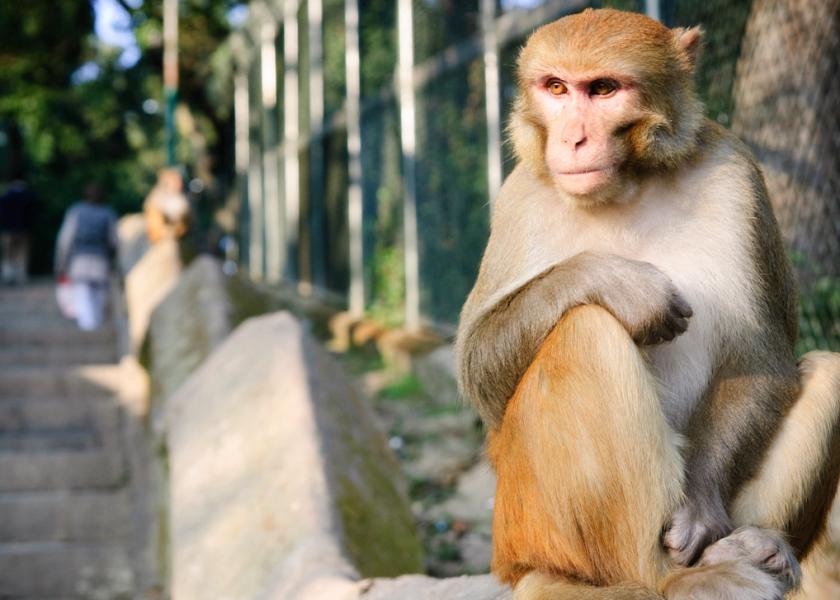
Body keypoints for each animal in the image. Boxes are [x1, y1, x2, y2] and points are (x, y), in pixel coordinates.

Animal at [455, 8, 840, 600]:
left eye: (603, 89)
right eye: (557, 88)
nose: (572, 139)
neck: (628, 185)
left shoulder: (737, 175)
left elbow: (761, 360)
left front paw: (700, 510)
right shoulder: (521, 196)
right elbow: (478, 370)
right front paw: (614, 279)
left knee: (829, 372)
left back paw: (755, 546)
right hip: (533, 527)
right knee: (585, 329)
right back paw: (670, 577)